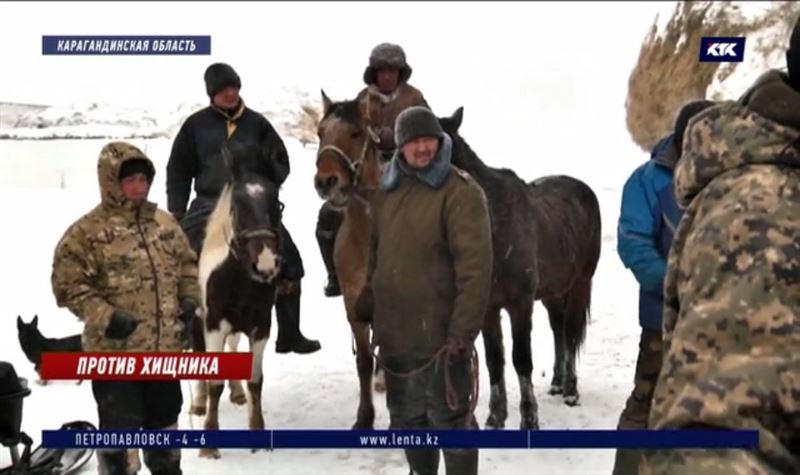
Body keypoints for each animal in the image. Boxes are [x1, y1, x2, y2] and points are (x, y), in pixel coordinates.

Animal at [438, 109, 600, 432]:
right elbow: (495, 360)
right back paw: (557, 381)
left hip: (580, 284)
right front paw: (495, 416)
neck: (494, 222)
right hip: (552, 292)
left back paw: (571, 389)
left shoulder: (520, 304)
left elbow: (521, 359)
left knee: (570, 333)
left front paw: (529, 417)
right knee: (559, 330)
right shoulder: (488, 308)